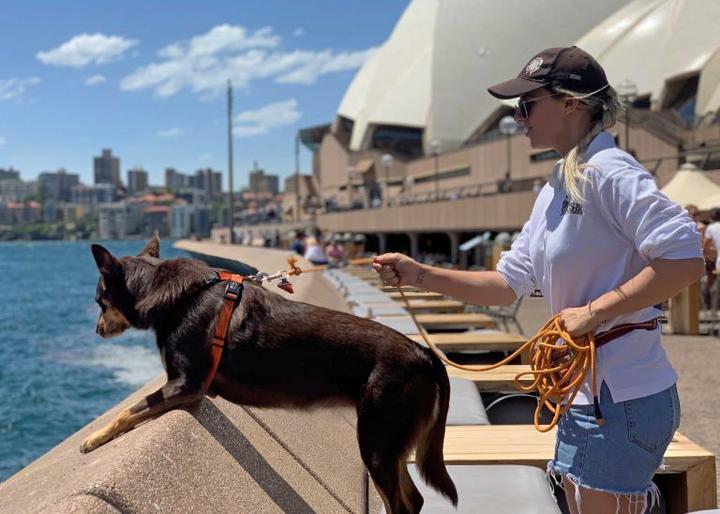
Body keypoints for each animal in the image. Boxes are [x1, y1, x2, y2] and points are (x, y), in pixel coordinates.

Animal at [81, 238, 458, 510]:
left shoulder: (185, 384)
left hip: (377, 442)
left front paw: (94, 438)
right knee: (414, 498)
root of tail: (423, 353)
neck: (177, 295)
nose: (97, 330)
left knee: (401, 503)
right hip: (389, 445)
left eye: (99, 300)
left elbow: (128, 412)